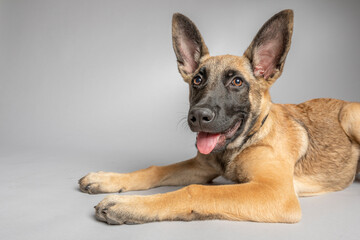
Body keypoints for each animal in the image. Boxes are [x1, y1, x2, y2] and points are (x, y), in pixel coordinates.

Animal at [79, 8, 360, 223]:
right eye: (197, 80)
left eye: (237, 82)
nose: (198, 116)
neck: (244, 141)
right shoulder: (200, 167)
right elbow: (156, 169)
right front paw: (107, 179)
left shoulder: (277, 193)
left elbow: (195, 192)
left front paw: (128, 205)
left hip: (349, 114)